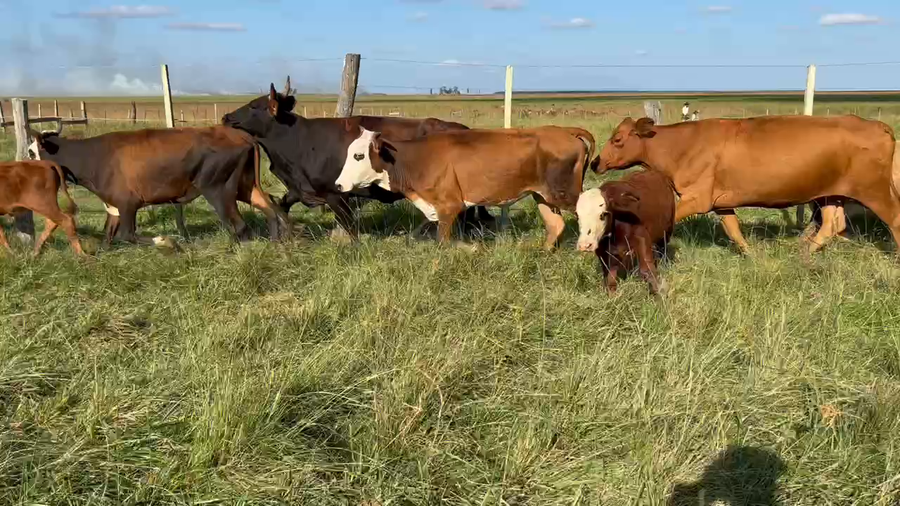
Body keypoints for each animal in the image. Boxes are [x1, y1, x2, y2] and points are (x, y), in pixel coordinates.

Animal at [27, 125, 287, 245]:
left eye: (31, 152)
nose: (22, 165)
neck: (94, 157)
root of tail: (243, 135)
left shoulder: (128, 204)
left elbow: (127, 235)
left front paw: (169, 242)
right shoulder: (115, 207)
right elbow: (108, 238)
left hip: (218, 191)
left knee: (241, 226)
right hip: (245, 187)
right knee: (271, 208)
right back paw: (277, 242)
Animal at [220, 78, 495, 239]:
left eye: (254, 106)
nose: (226, 116)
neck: (299, 142)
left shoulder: (336, 194)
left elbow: (350, 227)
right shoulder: (301, 188)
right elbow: (282, 204)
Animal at [333, 125, 595, 248]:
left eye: (358, 156)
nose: (338, 184)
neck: (417, 159)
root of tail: (564, 130)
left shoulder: (449, 206)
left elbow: (443, 242)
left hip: (564, 193)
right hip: (542, 195)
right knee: (556, 225)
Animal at [593, 116, 900, 255]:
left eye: (617, 139)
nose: (596, 162)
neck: (681, 146)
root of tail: (878, 125)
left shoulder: (696, 198)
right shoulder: (721, 202)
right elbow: (734, 231)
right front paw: (752, 256)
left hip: (874, 190)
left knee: (894, 219)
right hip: (831, 194)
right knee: (832, 224)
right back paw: (803, 255)